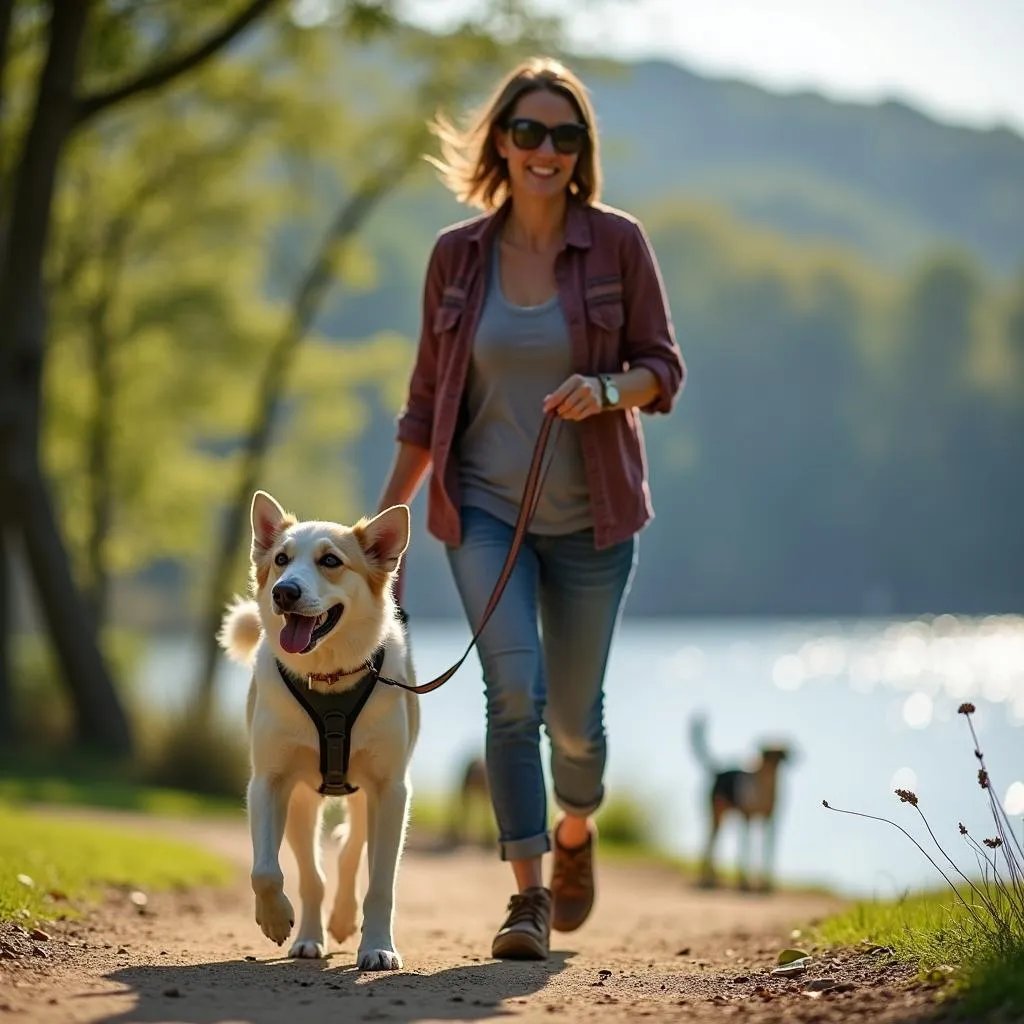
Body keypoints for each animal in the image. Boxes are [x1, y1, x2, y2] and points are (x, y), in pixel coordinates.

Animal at [220, 487, 419, 966]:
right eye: (281, 559)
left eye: (330, 561)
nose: (284, 592)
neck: (328, 679)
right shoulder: (270, 782)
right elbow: (267, 870)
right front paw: (276, 919)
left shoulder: (392, 789)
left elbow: (380, 883)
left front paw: (378, 947)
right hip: (303, 802)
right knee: (314, 874)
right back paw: (310, 936)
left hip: (370, 800)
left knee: (350, 853)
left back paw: (345, 920)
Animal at [688, 716, 790, 892]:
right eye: (768, 754)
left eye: (780, 755)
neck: (764, 786)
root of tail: (717, 771)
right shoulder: (747, 817)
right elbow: (747, 850)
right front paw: (746, 884)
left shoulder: (771, 821)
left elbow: (766, 851)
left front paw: (765, 885)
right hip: (717, 814)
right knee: (709, 844)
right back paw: (708, 881)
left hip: (724, 818)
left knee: (714, 844)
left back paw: (713, 879)